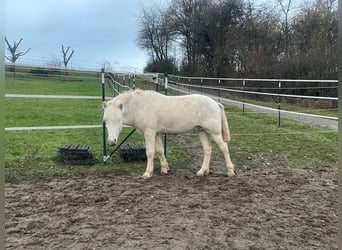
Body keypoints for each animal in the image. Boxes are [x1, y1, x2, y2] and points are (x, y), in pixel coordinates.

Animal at [102, 89, 235, 179]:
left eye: (119, 119)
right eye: (105, 120)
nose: (112, 141)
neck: (141, 105)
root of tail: (215, 103)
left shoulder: (149, 132)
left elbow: (150, 152)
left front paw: (147, 173)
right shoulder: (156, 133)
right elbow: (160, 151)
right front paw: (164, 169)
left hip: (214, 132)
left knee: (224, 148)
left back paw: (230, 171)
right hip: (202, 131)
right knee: (207, 150)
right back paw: (202, 172)